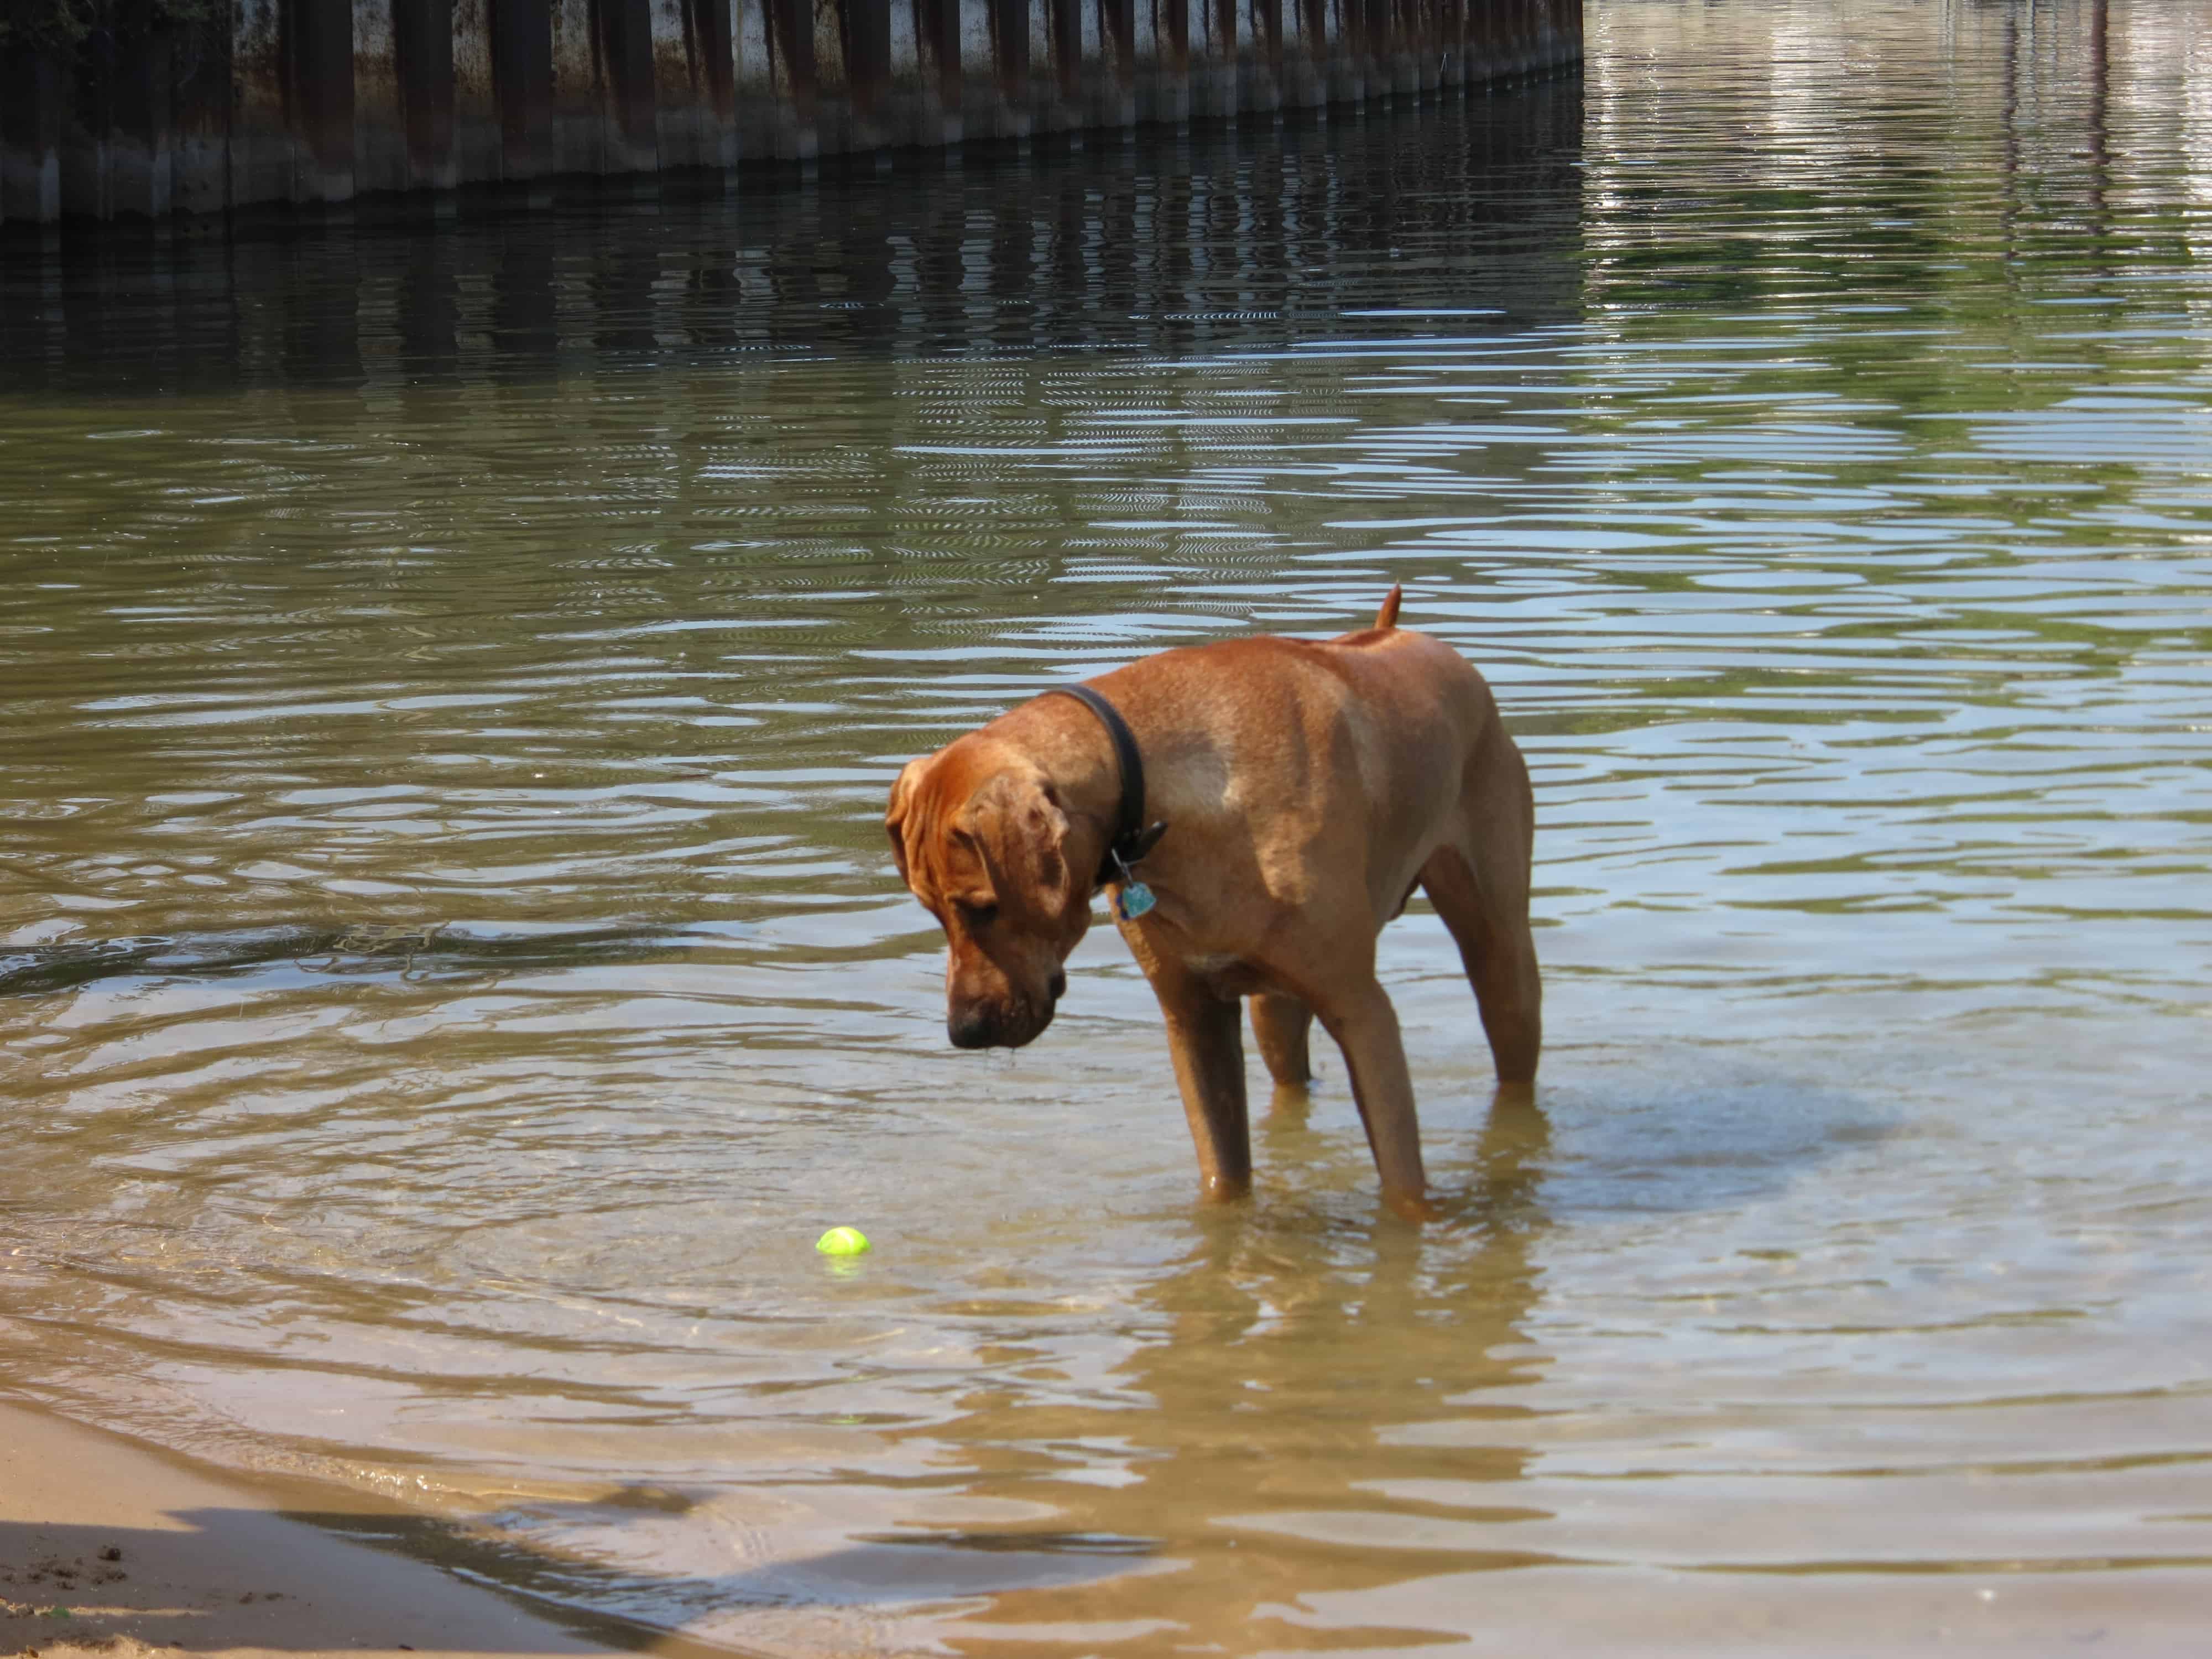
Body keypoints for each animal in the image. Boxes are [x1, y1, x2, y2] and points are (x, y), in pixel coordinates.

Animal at [880, 593, 1540, 1230]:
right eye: (931, 910)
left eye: (984, 908)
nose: (963, 1033)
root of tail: (1403, 633)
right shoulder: (1193, 1017)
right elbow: (1224, 1176)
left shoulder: (1361, 1009)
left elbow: (1402, 1184)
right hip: (1276, 1007)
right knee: (1289, 1075)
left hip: (1500, 956)